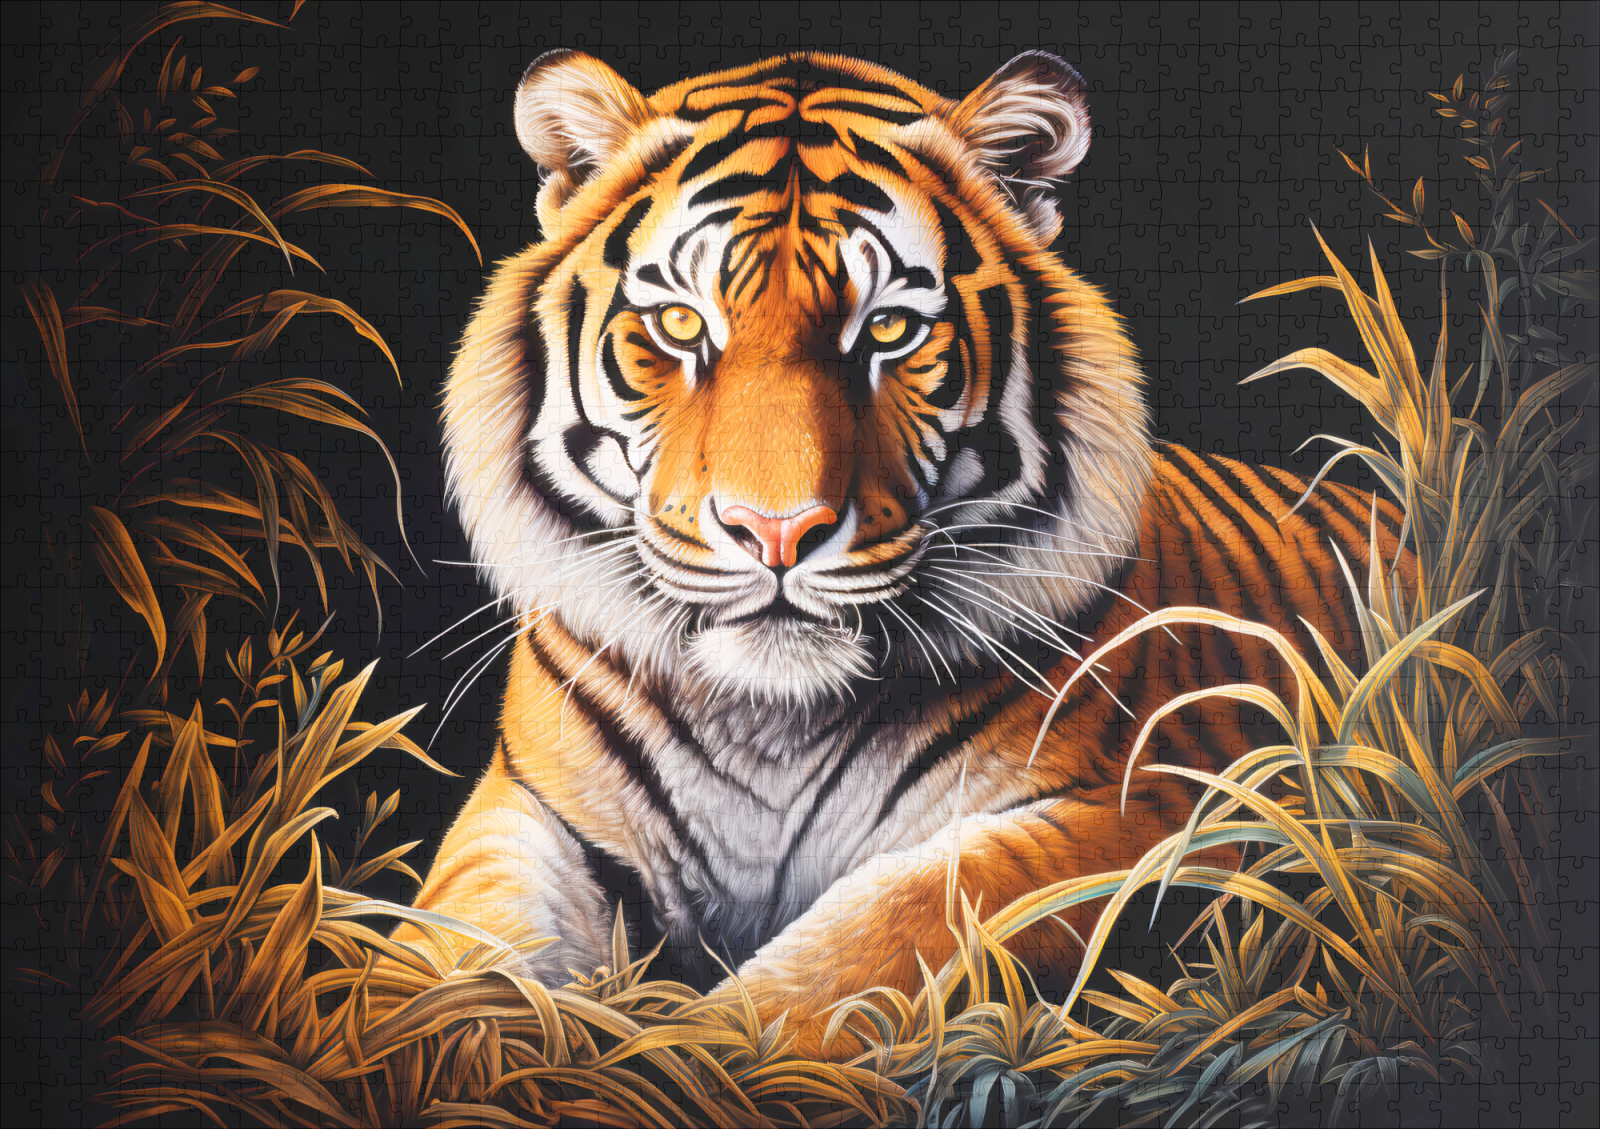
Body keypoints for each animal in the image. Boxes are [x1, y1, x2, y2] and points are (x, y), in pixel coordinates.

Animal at [405, 48, 1402, 1059]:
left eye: (888, 330)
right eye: (682, 326)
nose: (776, 531)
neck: (768, 719)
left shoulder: (1159, 811)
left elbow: (884, 933)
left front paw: (685, 1055)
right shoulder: (528, 808)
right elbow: (459, 946)